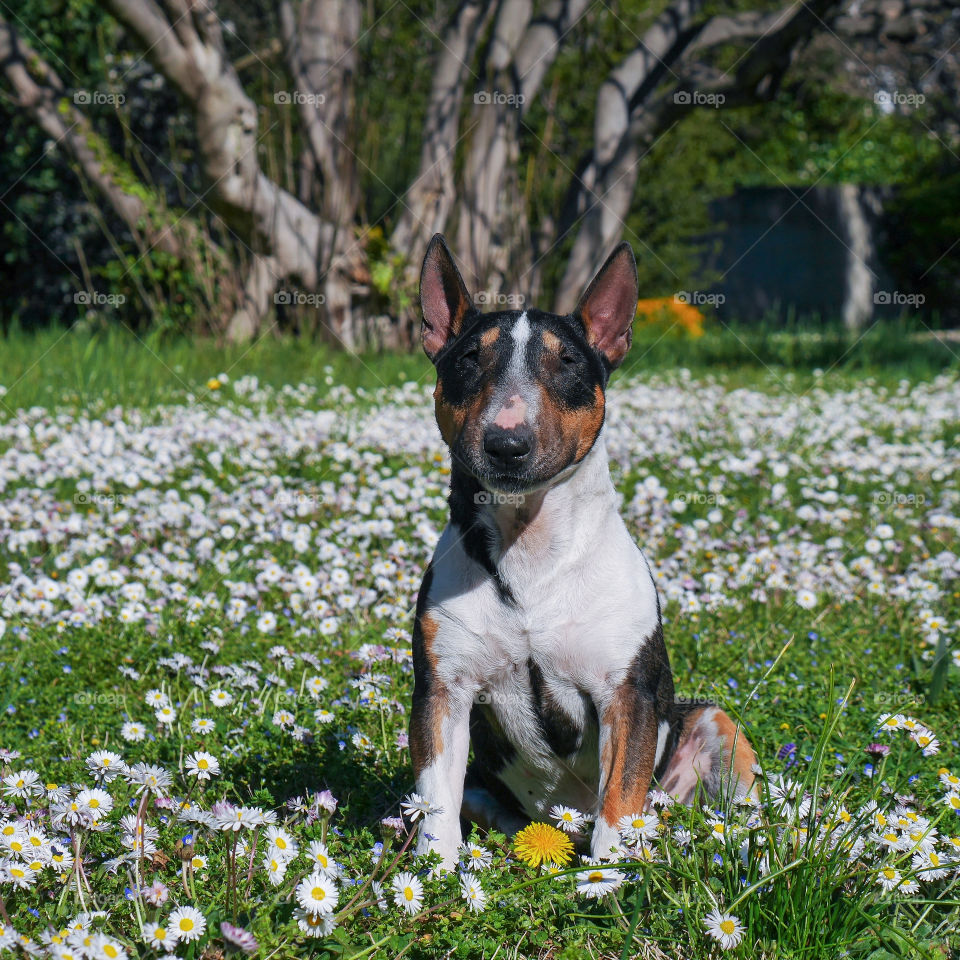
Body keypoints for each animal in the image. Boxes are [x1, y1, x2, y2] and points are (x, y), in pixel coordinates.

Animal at [408, 236, 752, 868]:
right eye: (468, 360)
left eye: (567, 361)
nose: (507, 444)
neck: (531, 553)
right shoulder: (443, 692)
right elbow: (435, 799)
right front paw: (433, 874)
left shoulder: (625, 696)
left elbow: (621, 795)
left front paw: (610, 875)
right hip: (486, 787)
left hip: (711, 726)